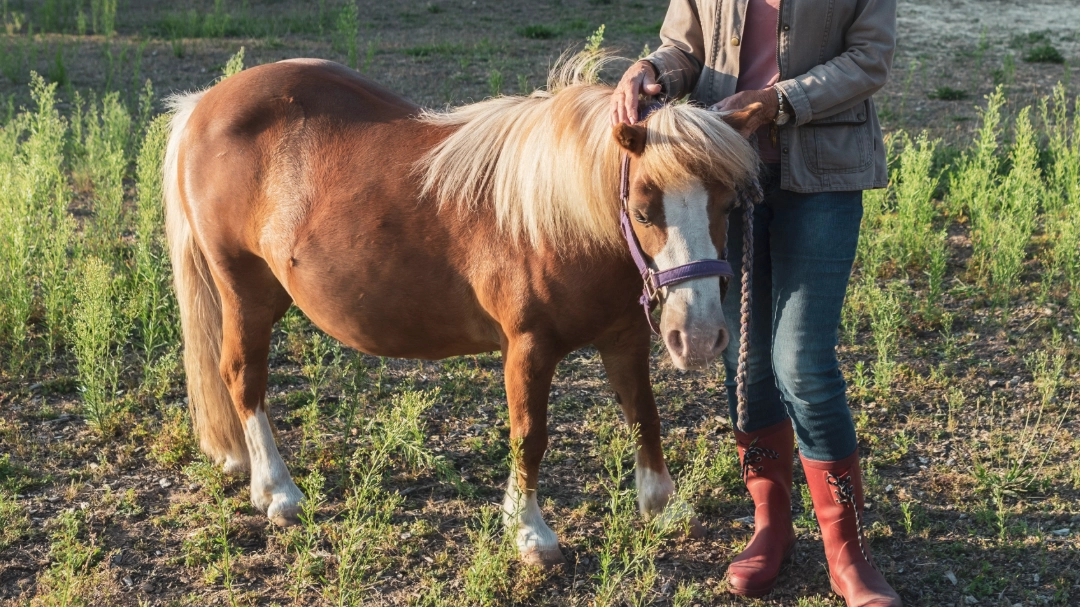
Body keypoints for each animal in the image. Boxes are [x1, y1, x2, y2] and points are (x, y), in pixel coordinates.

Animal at [163, 55, 762, 566]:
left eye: (728, 203)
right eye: (641, 209)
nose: (700, 335)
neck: (560, 219)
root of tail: (204, 104)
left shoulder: (625, 339)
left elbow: (644, 416)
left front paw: (663, 505)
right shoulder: (527, 347)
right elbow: (530, 435)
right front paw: (530, 532)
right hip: (245, 291)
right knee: (243, 377)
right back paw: (279, 492)